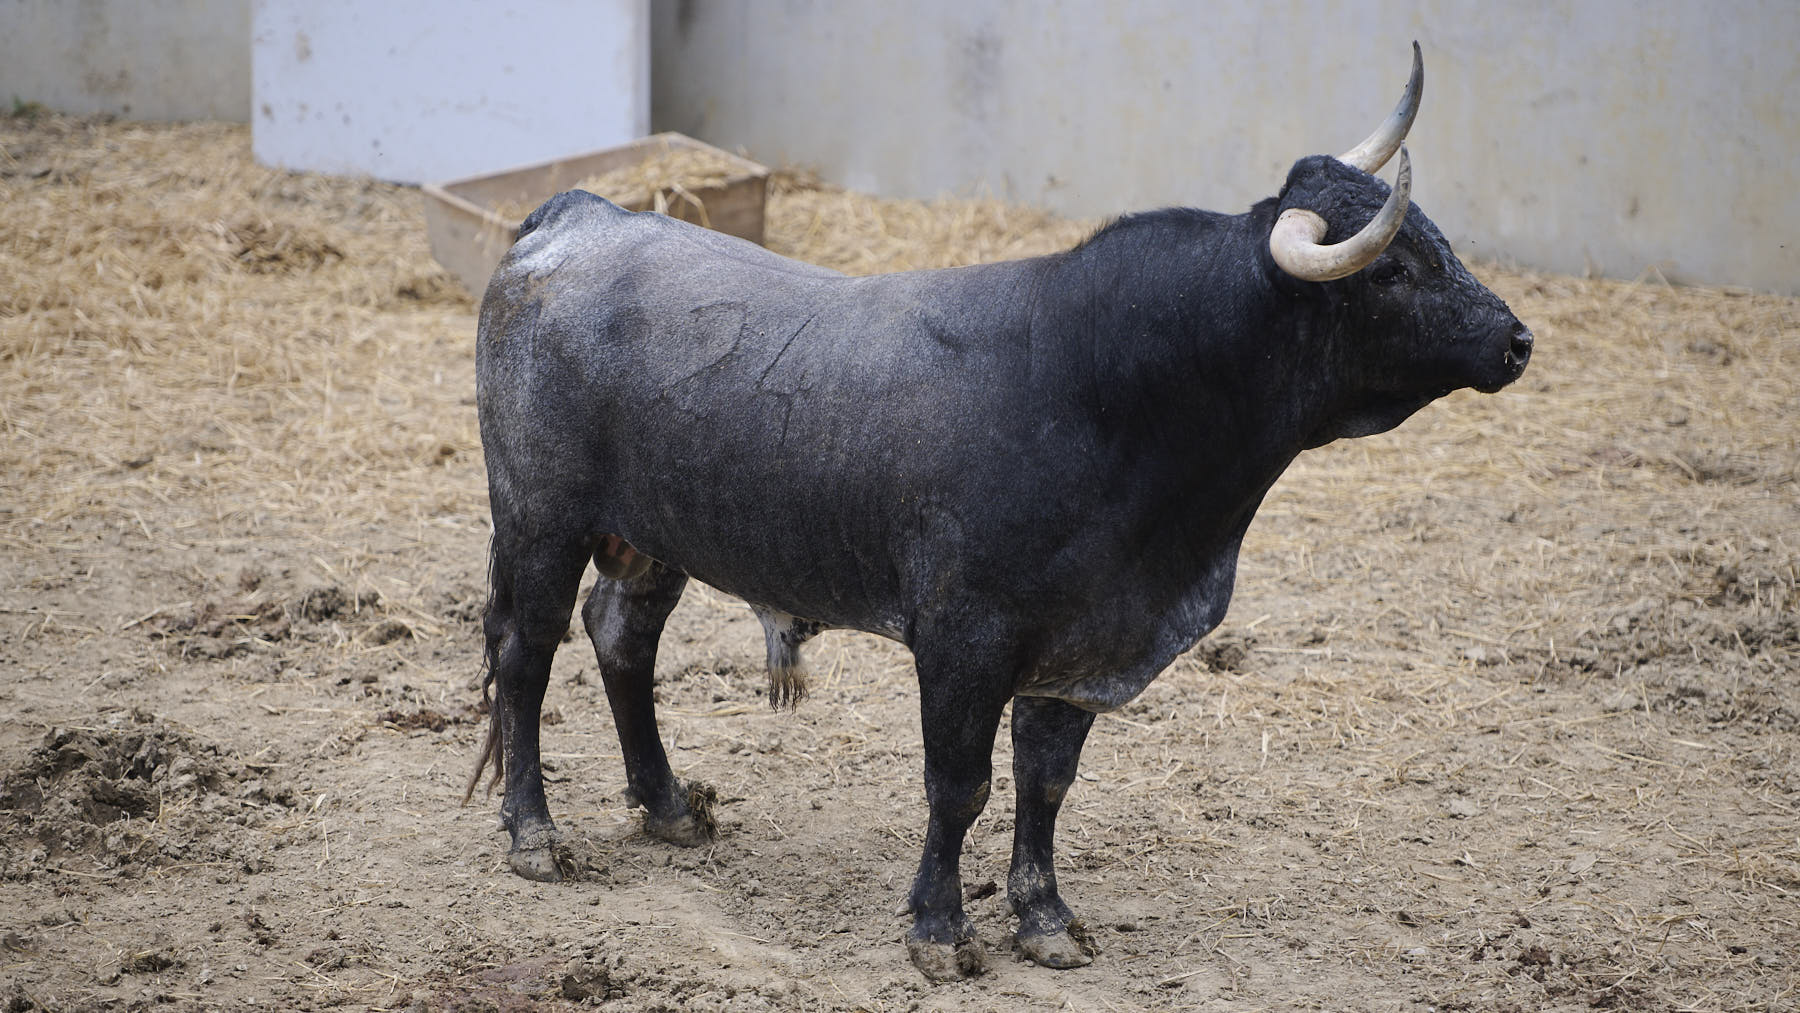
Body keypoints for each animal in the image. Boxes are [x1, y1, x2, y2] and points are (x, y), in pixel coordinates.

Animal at [464, 47, 1533, 986]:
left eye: (1437, 239)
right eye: (1391, 271)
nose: (1517, 340)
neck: (1110, 392)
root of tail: (581, 215)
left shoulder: (1077, 645)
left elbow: (1045, 782)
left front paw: (1046, 919)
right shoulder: (964, 639)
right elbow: (961, 782)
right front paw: (939, 930)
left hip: (653, 539)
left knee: (621, 639)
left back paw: (669, 807)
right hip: (539, 521)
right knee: (528, 655)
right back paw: (534, 835)